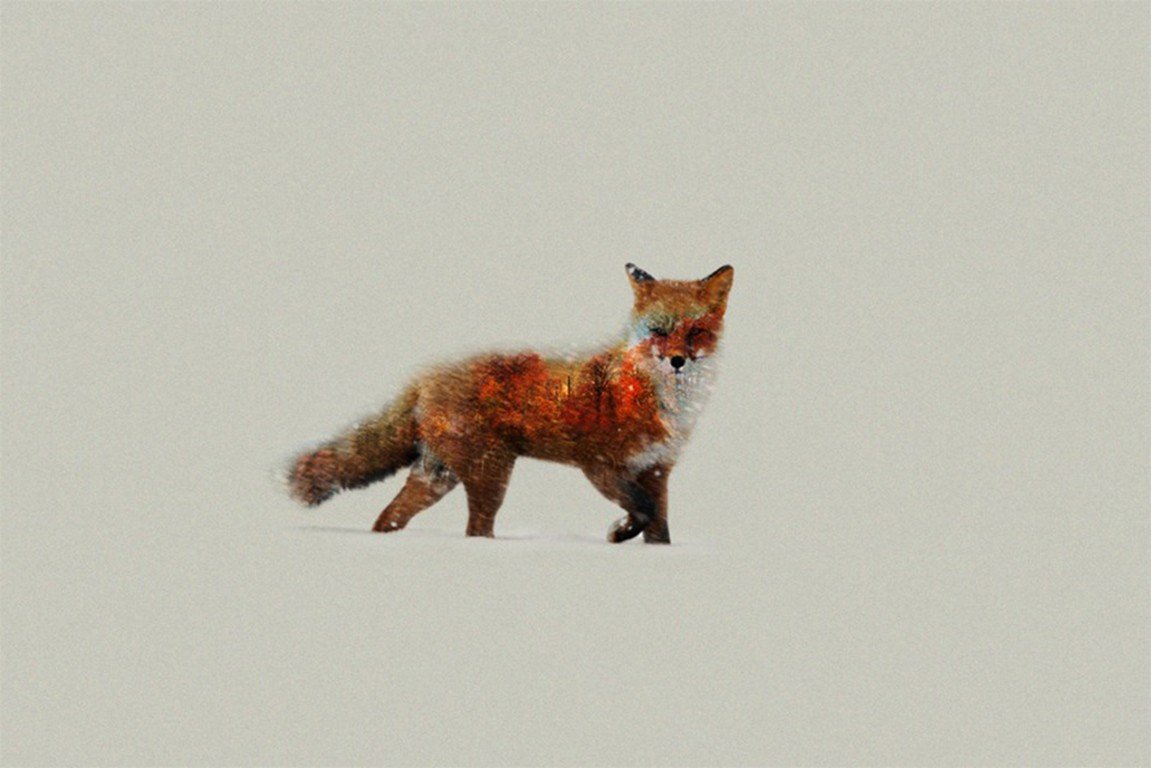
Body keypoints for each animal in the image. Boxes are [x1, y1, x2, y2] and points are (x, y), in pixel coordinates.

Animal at [287, 263, 733, 544]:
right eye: (659, 331)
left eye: (696, 332)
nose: (677, 361)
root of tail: (425, 373)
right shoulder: (600, 465)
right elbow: (642, 511)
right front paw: (619, 533)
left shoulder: (658, 470)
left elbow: (659, 528)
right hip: (490, 473)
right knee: (475, 531)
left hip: (440, 475)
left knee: (388, 517)